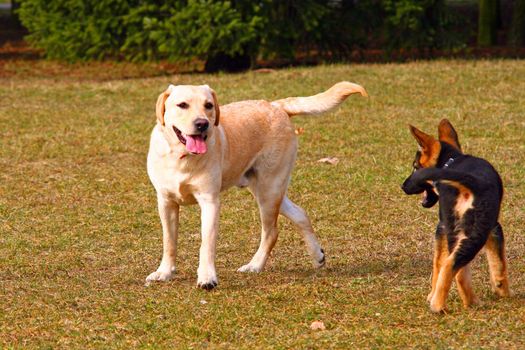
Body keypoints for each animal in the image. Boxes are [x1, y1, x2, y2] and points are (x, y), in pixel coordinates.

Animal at [145, 80, 366, 288]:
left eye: (208, 105)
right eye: (182, 105)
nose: (202, 124)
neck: (181, 158)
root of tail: (276, 105)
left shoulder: (210, 202)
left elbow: (206, 244)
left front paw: (207, 278)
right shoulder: (165, 202)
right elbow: (169, 241)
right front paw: (164, 272)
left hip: (269, 189)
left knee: (272, 232)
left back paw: (255, 265)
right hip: (268, 189)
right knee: (300, 213)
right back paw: (317, 255)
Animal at [402, 119, 508, 312]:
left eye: (415, 166)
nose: (403, 186)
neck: (451, 162)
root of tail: (469, 181)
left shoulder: (442, 228)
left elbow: (437, 263)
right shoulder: (495, 227)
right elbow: (499, 262)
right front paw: (504, 291)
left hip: (455, 230)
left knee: (453, 267)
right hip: (475, 231)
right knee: (453, 266)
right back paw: (448, 305)